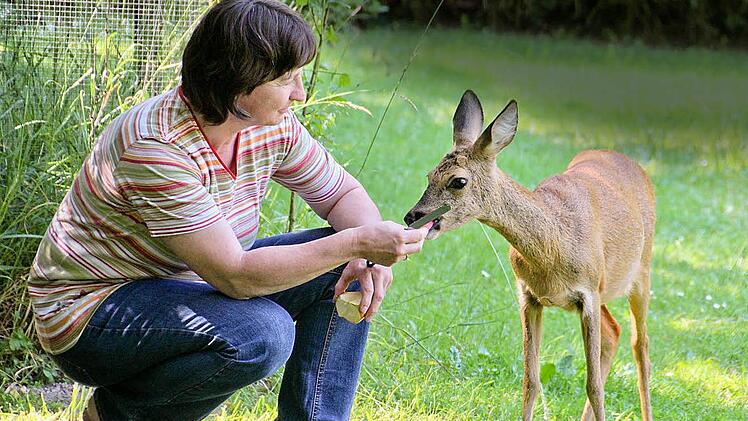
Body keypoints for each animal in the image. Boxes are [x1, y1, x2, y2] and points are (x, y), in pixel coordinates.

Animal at [404, 91, 655, 421]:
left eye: (458, 181)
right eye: (429, 174)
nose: (412, 216)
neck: (554, 247)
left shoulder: (588, 293)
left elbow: (593, 386)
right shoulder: (529, 295)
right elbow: (531, 380)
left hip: (641, 271)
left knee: (641, 346)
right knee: (613, 331)